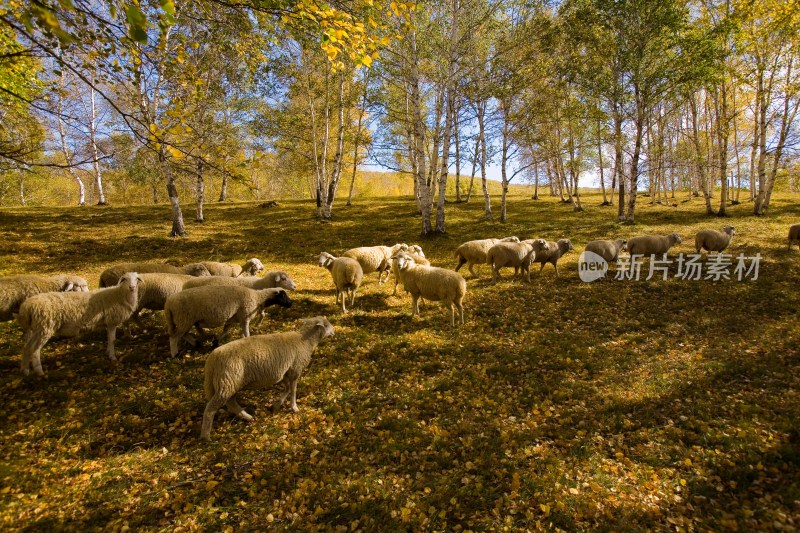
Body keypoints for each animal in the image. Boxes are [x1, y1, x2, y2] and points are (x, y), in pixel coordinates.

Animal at [164, 284, 292, 356]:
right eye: (283, 295)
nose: (291, 303)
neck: (258, 298)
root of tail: (168, 304)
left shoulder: (232, 319)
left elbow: (225, 331)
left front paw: (215, 342)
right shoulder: (245, 317)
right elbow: (247, 333)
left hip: (185, 320)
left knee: (183, 334)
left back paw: (197, 343)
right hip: (184, 318)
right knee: (174, 337)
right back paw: (175, 354)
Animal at [203, 318, 338, 438]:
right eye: (326, 325)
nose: (334, 331)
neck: (304, 341)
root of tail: (211, 361)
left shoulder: (284, 372)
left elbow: (287, 389)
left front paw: (277, 404)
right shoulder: (295, 370)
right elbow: (293, 390)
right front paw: (294, 407)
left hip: (229, 383)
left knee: (231, 403)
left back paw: (247, 417)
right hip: (227, 382)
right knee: (211, 409)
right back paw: (206, 436)